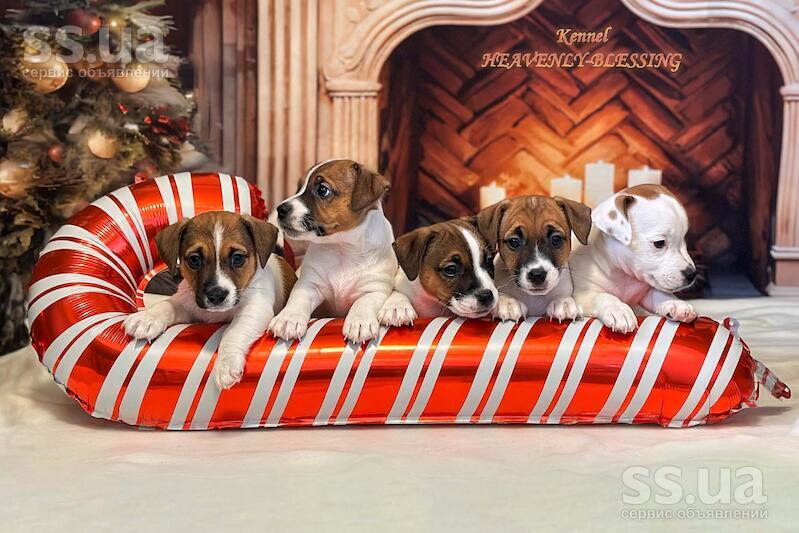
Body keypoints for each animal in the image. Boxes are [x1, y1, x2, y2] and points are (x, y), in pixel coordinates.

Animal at [123, 211, 296, 389]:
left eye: (238, 258)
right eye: (194, 260)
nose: (217, 295)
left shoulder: (255, 309)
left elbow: (233, 331)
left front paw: (226, 364)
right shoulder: (185, 302)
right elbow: (166, 305)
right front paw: (147, 318)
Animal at [269, 159, 396, 343]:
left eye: (322, 190)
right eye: (299, 187)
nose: (280, 209)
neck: (343, 247)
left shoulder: (374, 288)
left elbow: (363, 303)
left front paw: (359, 322)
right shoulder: (309, 284)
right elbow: (298, 299)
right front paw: (288, 318)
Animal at [570, 184, 698, 333]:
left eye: (684, 239)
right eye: (659, 243)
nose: (692, 275)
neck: (622, 275)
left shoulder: (645, 293)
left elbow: (660, 294)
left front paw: (675, 302)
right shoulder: (583, 295)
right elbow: (603, 296)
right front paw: (618, 309)